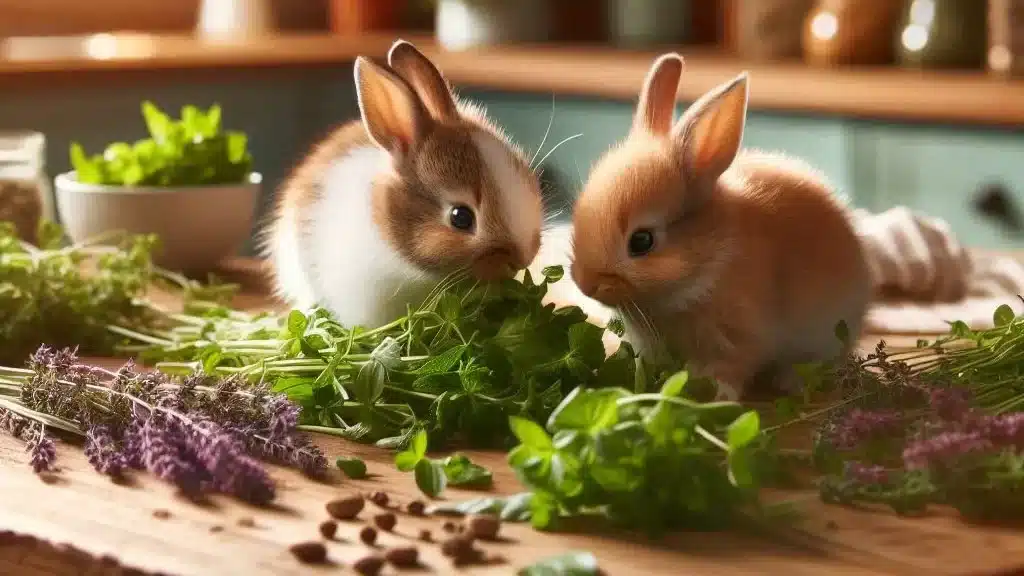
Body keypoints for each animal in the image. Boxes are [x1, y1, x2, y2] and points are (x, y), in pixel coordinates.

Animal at [569, 52, 872, 399]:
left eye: (642, 241)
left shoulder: (742, 337)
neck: (708, 263)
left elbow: (733, 367)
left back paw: (790, 381)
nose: (585, 284)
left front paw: (716, 392)